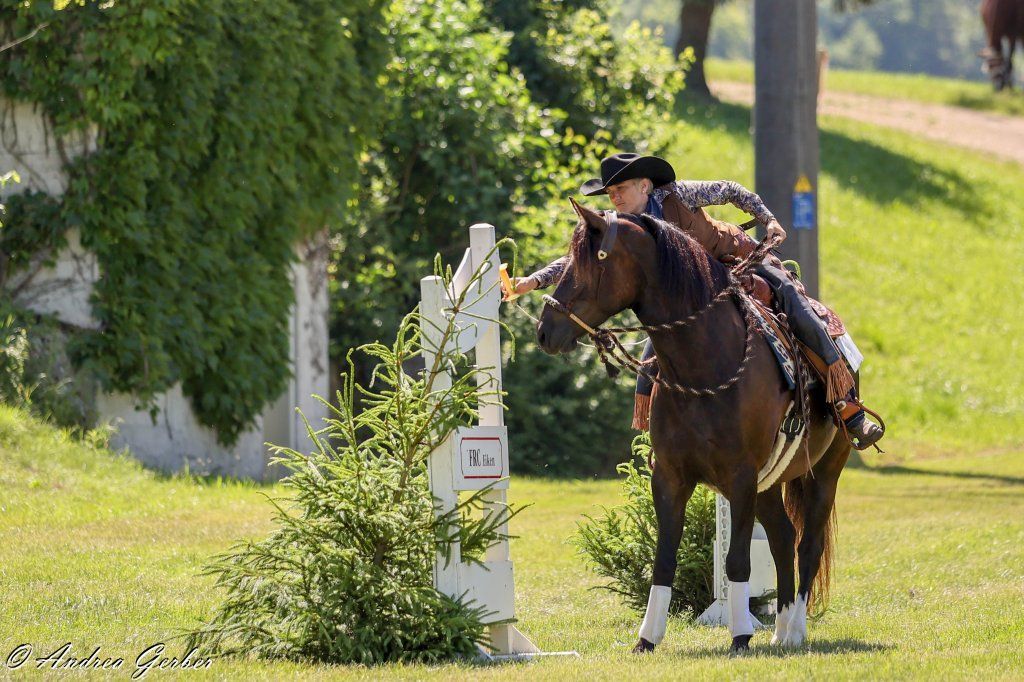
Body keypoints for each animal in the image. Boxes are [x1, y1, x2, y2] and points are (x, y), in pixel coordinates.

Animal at [536, 201, 853, 654]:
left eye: (593, 259)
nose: (545, 330)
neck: (704, 363)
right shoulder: (670, 476)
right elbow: (664, 558)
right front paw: (647, 639)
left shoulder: (739, 477)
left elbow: (736, 559)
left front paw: (740, 636)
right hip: (769, 483)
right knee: (782, 537)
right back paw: (780, 630)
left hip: (826, 470)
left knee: (808, 542)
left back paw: (796, 630)